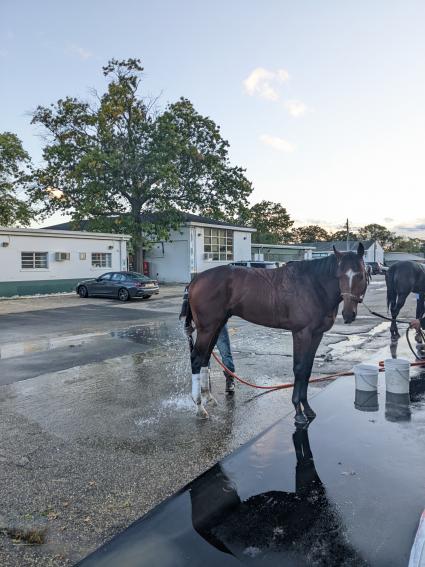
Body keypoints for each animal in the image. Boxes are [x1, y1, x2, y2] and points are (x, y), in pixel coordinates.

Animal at [181, 242, 366, 424]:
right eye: (339, 275)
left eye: (362, 275)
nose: (349, 315)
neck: (313, 285)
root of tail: (194, 281)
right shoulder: (301, 333)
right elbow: (299, 368)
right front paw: (298, 412)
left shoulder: (316, 335)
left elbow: (307, 368)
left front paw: (307, 409)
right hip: (207, 329)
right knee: (196, 359)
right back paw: (199, 407)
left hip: (217, 326)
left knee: (205, 358)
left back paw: (208, 398)